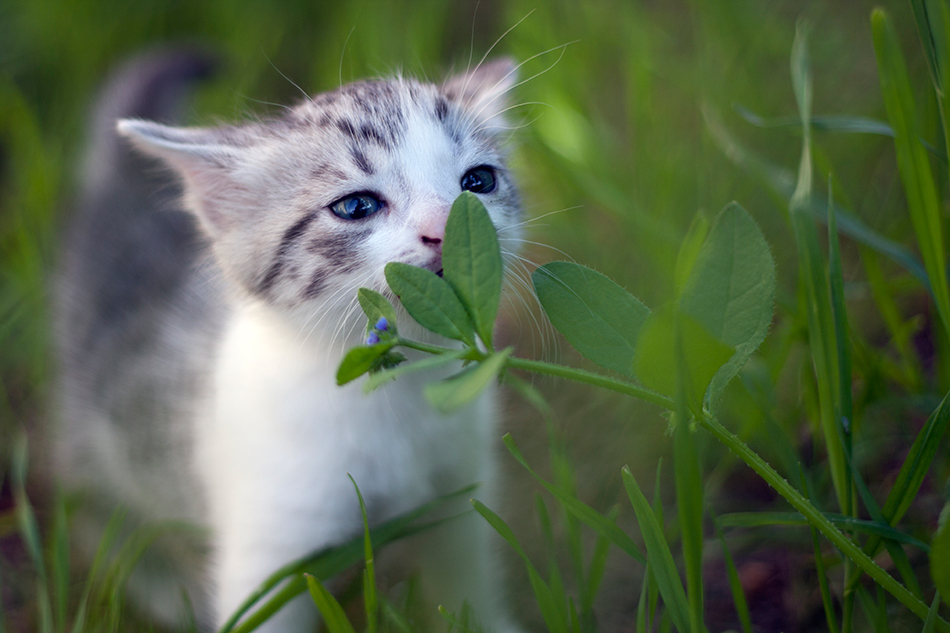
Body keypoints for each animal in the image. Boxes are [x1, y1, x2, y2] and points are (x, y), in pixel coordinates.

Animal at [55, 50, 524, 632]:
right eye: (356, 207)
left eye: (477, 182)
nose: (443, 227)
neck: (395, 393)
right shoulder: (271, 544)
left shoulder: (459, 490)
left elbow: (464, 581)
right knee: (94, 507)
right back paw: (161, 585)